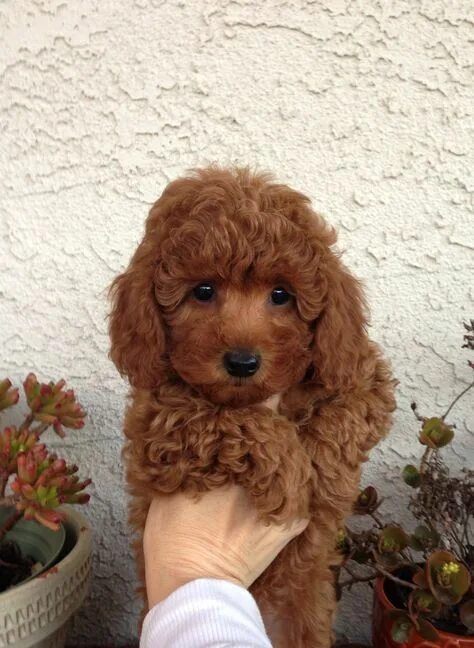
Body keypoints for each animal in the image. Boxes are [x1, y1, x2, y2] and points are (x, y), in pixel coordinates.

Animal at [108, 165, 396, 644]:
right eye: (203, 290)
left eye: (281, 295)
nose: (242, 362)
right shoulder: (159, 428)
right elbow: (229, 421)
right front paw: (292, 476)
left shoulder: (359, 367)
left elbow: (347, 412)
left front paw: (324, 480)